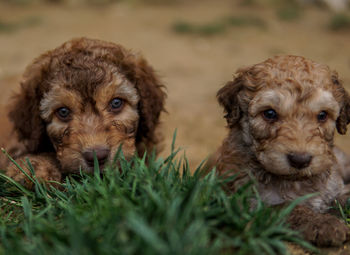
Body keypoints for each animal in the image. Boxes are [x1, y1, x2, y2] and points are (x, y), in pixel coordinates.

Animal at [216, 55, 350, 247]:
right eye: (270, 113)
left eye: (322, 115)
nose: (300, 160)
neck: (294, 181)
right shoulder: (244, 204)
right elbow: (287, 207)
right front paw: (324, 224)